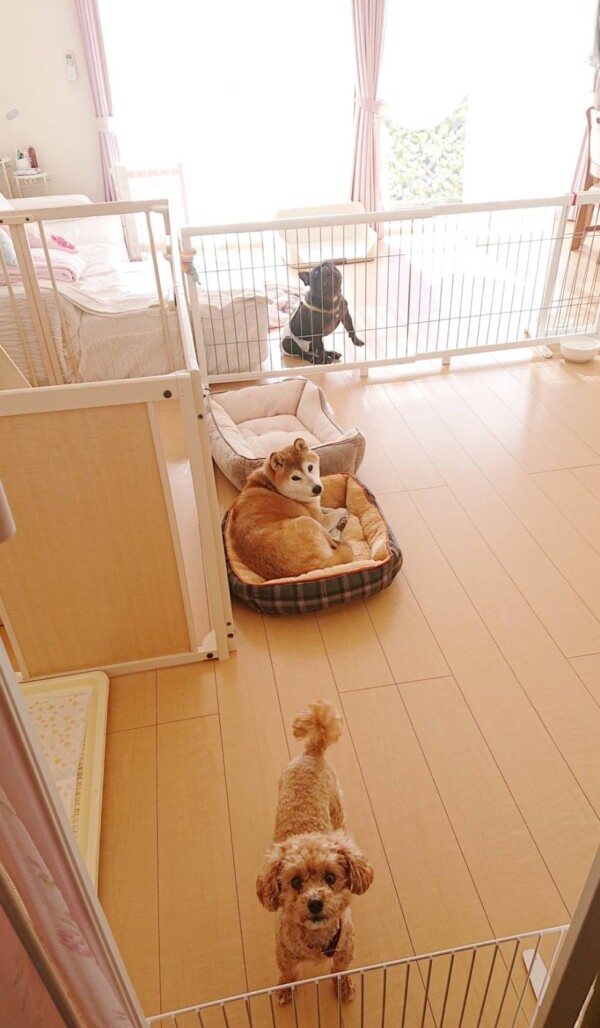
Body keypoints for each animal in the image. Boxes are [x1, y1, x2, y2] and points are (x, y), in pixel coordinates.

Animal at [225, 438, 355, 581]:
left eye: (310, 467)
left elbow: (329, 508)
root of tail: (311, 570)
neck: (273, 486)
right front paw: (344, 515)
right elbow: (341, 509)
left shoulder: (316, 509)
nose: (317, 489)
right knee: (336, 542)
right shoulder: (320, 520)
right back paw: (341, 528)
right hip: (308, 521)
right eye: (295, 477)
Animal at [256, 699, 374, 1004]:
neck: (316, 938)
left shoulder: (345, 949)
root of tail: (313, 753)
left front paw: (344, 987)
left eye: (331, 878)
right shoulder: (284, 954)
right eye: (296, 882)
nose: (315, 903)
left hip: (337, 807)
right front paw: (284, 991)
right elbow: (288, 974)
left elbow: (340, 969)